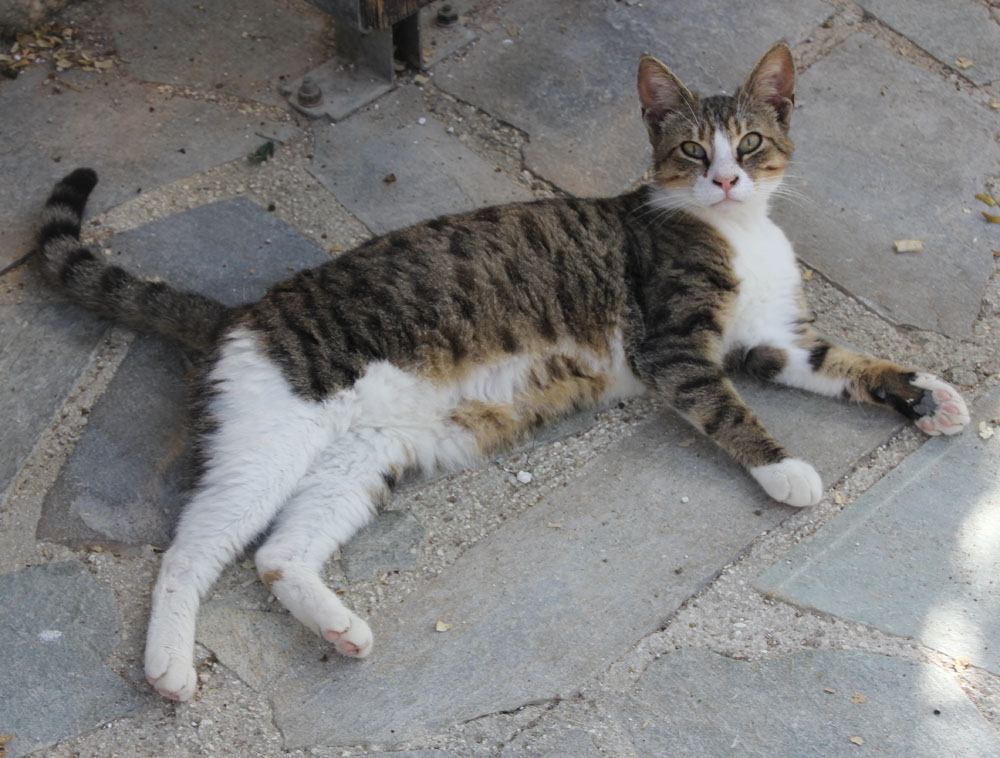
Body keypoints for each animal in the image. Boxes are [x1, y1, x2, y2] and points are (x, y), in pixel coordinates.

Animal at [33, 42, 970, 702]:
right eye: (690, 153)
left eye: (749, 141)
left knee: (277, 554)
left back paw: (337, 629)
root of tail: (239, 316)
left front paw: (926, 395)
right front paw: (789, 472)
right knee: (193, 545)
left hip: (364, 457)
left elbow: (844, 364)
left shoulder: (770, 342)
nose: (730, 180)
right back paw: (168, 668)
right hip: (271, 438)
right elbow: (728, 408)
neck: (737, 234)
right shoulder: (673, 346)